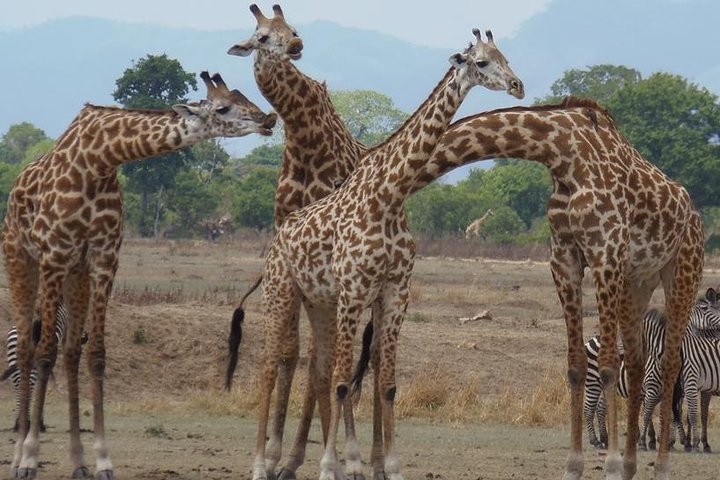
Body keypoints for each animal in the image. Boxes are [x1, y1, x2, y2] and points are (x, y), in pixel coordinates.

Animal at [3, 72, 276, 479]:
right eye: (224, 107)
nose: (268, 119)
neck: (100, 160)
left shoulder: (104, 258)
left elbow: (96, 354)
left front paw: (102, 461)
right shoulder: (54, 255)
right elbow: (44, 352)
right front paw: (31, 457)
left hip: (76, 273)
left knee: (70, 352)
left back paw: (77, 461)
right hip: (21, 259)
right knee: (26, 348)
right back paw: (20, 452)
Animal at [253, 28, 524, 480]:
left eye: (506, 55)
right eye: (482, 62)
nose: (518, 86)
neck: (390, 193)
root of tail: (280, 234)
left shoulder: (395, 291)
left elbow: (386, 383)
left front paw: (388, 466)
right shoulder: (355, 289)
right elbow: (344, 381)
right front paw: (333, 466)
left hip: (319, 302)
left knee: (315, 365)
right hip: (282, 291)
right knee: (273, 364)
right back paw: (261, 463)